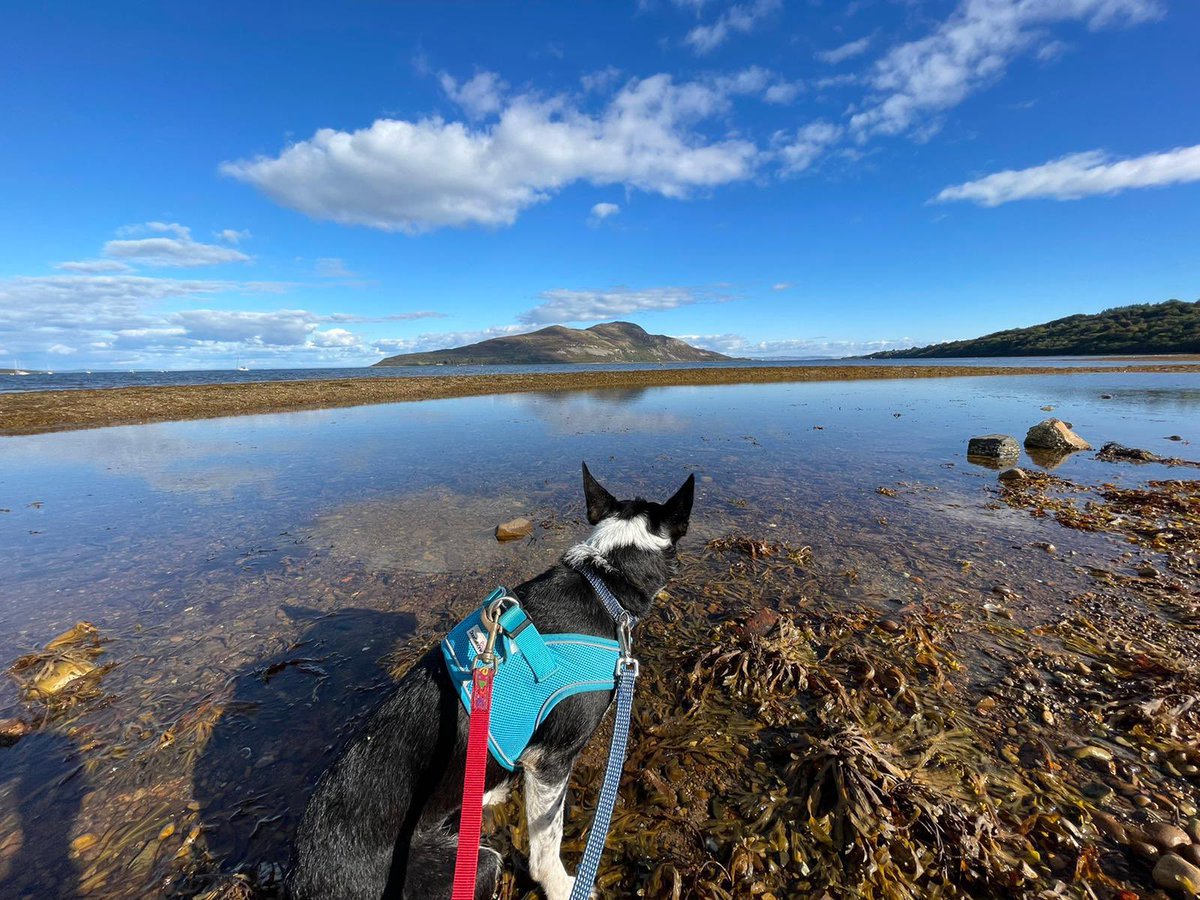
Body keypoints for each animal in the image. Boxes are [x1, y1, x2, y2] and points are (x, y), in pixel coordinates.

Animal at [288, 460, 696, 897]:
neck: (604, 583)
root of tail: (302, 882)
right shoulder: (551, 761)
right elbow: (546, 841)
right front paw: (560, 885)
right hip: (477, 865)